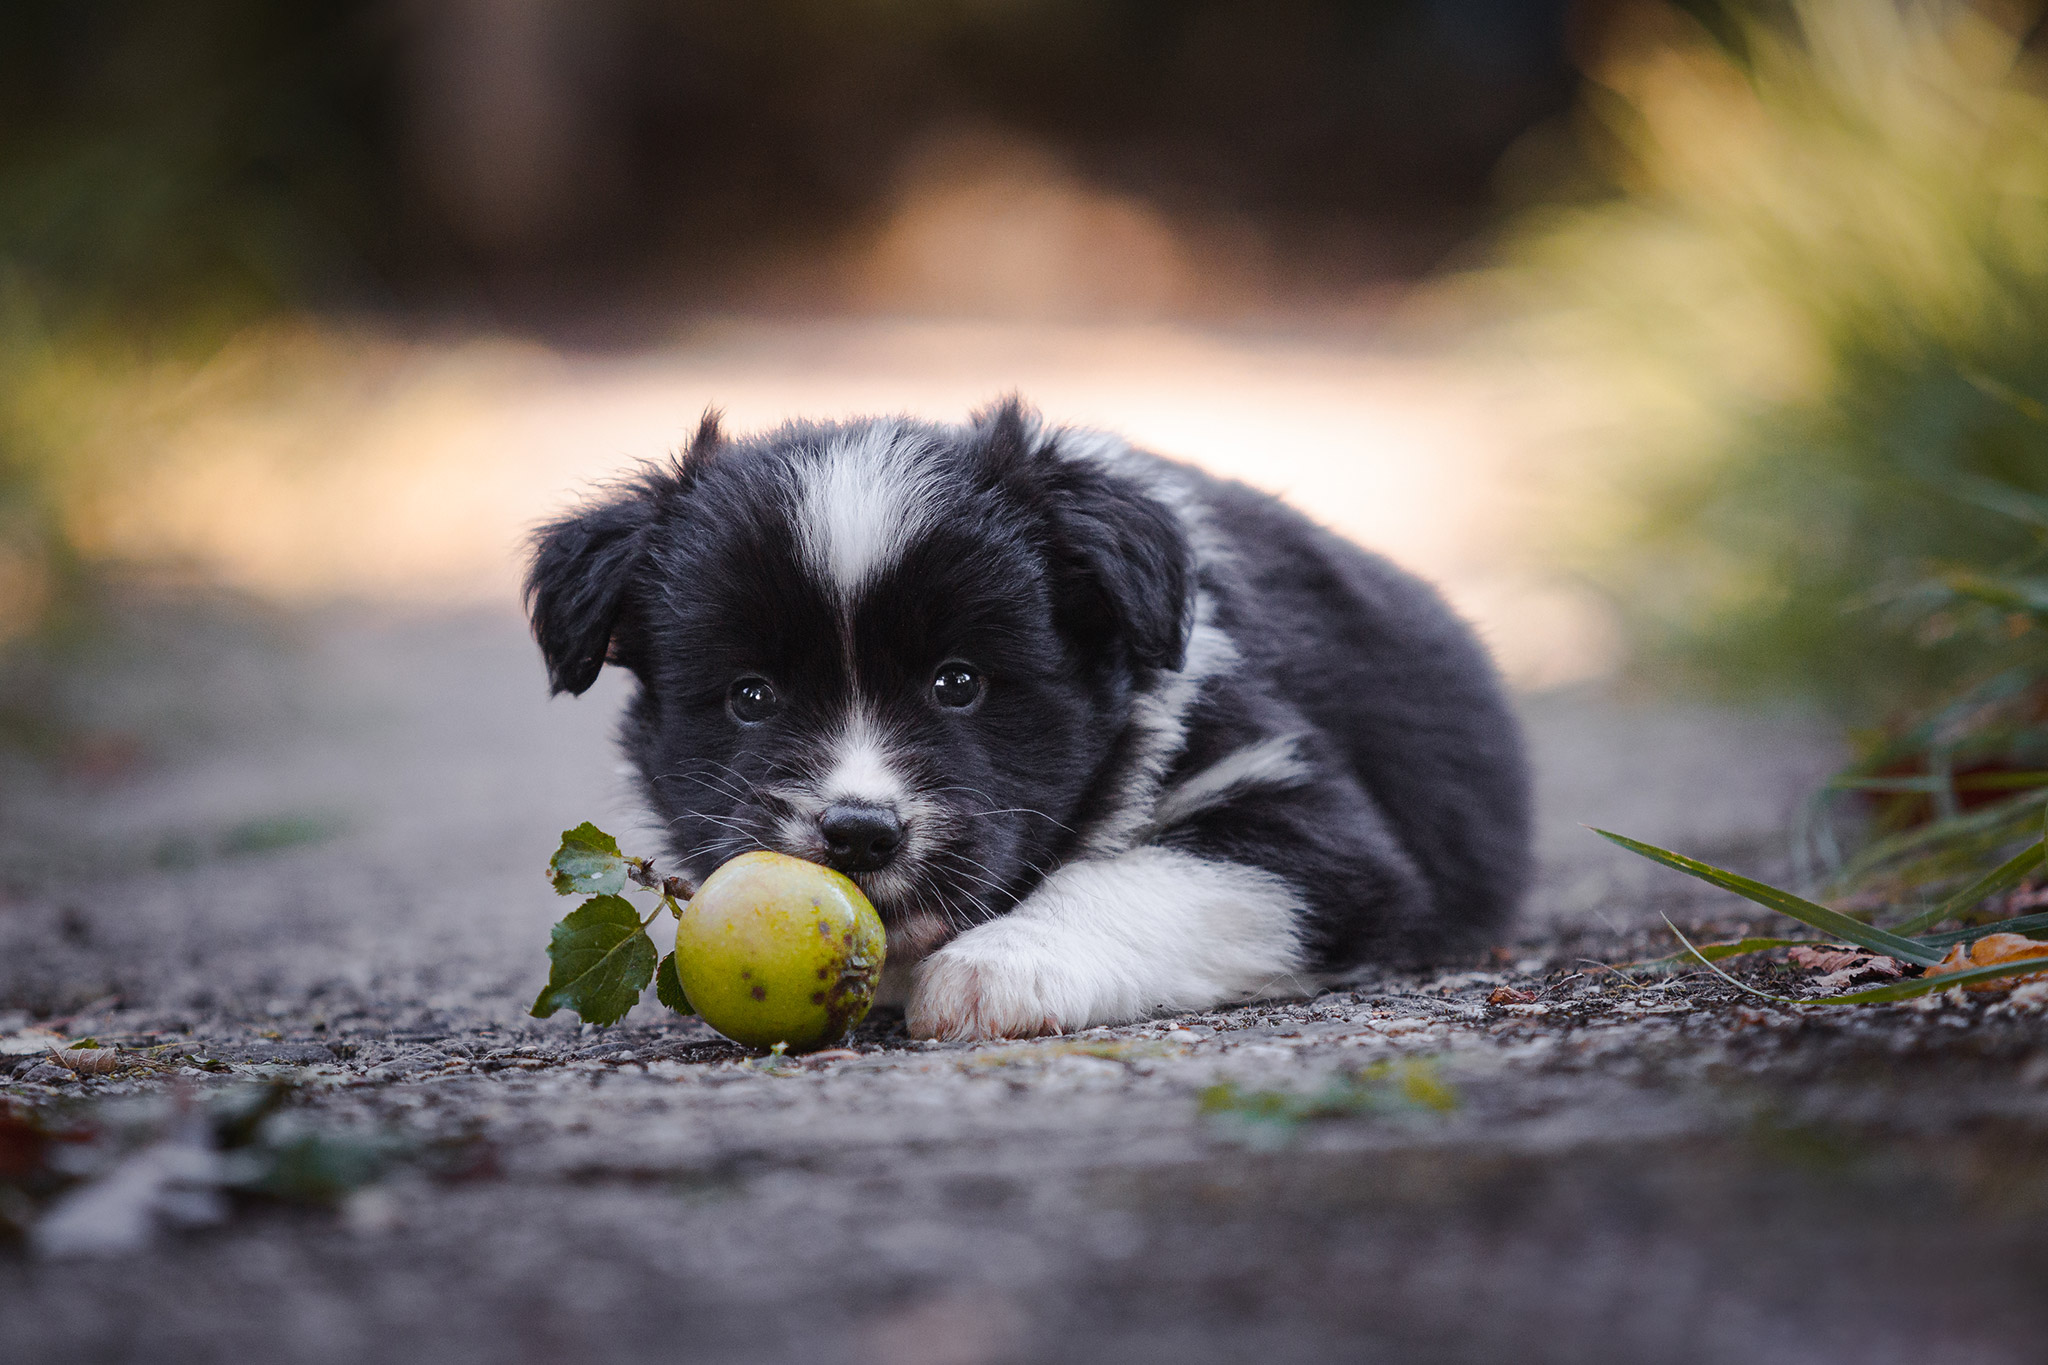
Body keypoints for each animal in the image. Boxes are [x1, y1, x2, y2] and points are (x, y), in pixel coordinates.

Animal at [524, 401, 1523, 1039]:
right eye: (751, 695)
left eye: (959, 682)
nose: (858, 833)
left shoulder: (1316, 820)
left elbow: (1143, 875)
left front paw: (997, 968)